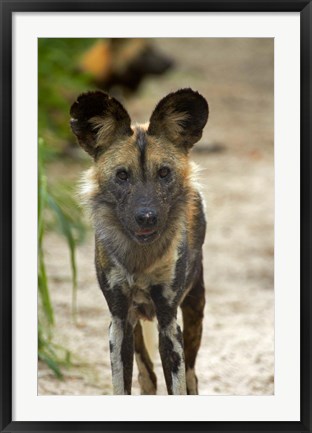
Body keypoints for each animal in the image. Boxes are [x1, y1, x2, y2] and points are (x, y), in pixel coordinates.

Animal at [69, 88, 208, 394]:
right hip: (134, 324)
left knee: (192, 375)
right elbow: (122, 385)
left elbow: (177, 386)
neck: (140, 259)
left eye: (164, 173)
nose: (147, 217)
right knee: (148, 377)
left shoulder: (169, 323)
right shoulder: (120, 321)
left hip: (194, 308)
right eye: (122, 175)